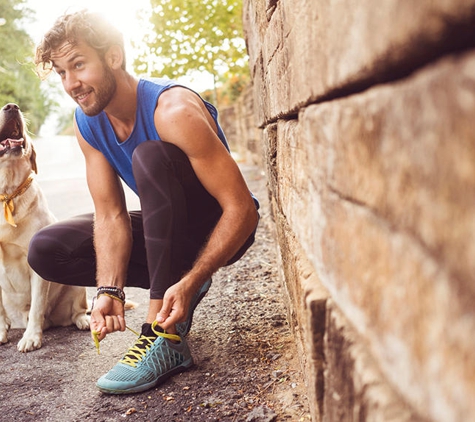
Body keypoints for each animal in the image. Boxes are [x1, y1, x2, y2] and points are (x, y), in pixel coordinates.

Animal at [0, 103, 89, 352]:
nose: (11, 106)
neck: (7, 192)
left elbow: (37, 306)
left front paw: (31, 337)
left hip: (75, 285)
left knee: (78, 310)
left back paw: (84, 320)